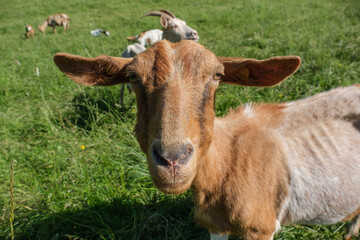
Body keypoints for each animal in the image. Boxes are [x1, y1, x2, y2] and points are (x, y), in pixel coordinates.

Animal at [54, 40, 360, 240]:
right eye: (132, 76)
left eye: (218, 75)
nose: (173, 159)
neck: (228, 160)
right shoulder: (215, 224)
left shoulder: (260, 228)